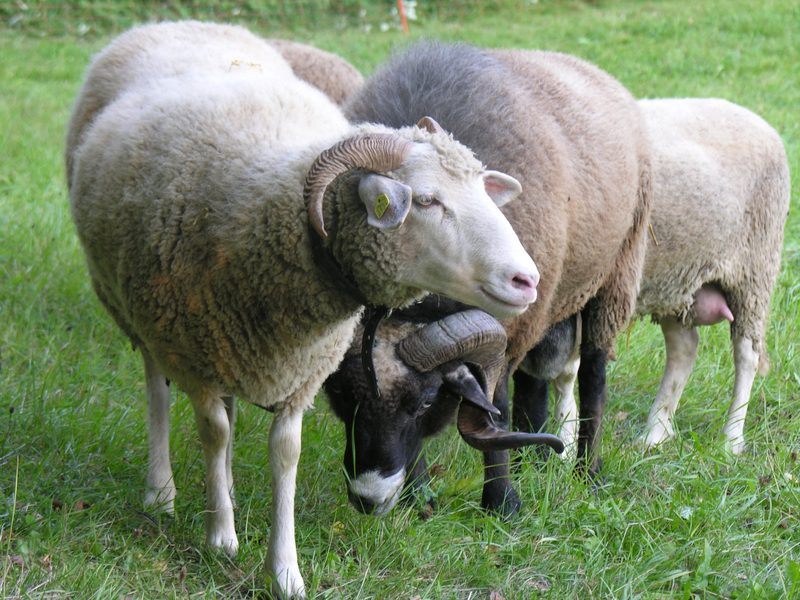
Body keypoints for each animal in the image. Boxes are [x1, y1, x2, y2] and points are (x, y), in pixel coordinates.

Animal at [67, 22, 540, 598]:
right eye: (426, 200)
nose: (527, 279)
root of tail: (174, 23)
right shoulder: (193, 347)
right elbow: (213, 431)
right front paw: (221, 536)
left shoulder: (301, 369)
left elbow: (284, 452)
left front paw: (284, 570)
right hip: (142, 313)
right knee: (158, 388)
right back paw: (162, 492)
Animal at [325, 41, 653, 516]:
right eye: (341, 397)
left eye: (425, 401)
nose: (369, 499)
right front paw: (419, 497)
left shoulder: (509, 330)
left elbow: (495, 408)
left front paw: (502, 502)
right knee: (534, 381)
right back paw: (535, 459)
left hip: (613, 278)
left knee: (593, 378)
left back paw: (587, 472)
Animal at [515, 98, 791, 457]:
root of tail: (760, 122)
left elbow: (565, 370)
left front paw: (565, 441)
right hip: (677, 279)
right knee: (684, 348)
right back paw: (655, 432)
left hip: (754, 272)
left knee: (746, 356)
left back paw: (731, 438)